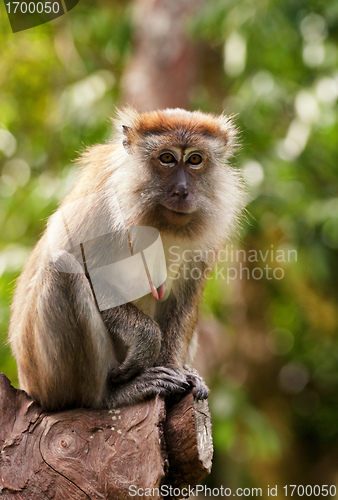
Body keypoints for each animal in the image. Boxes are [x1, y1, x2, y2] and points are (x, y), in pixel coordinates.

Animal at [8, 108, 246, 410]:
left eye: (195, 159)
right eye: (167, 158)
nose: (183, 190)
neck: (157, 219)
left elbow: (186, 296)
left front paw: (176, 369)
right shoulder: (100, 203)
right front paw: (146, 339)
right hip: (44, 377)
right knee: (60, 267)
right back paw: (109, 396)